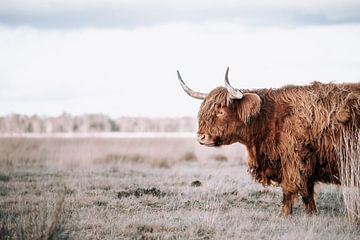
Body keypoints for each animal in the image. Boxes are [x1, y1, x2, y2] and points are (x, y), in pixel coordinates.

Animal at [177, 67, 360, 216]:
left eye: (221, 112)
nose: (201, 137)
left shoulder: (293, 160)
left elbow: (289, 189)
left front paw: (283, 215)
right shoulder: (307, 163)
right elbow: (307, 193)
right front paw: (312, 215)